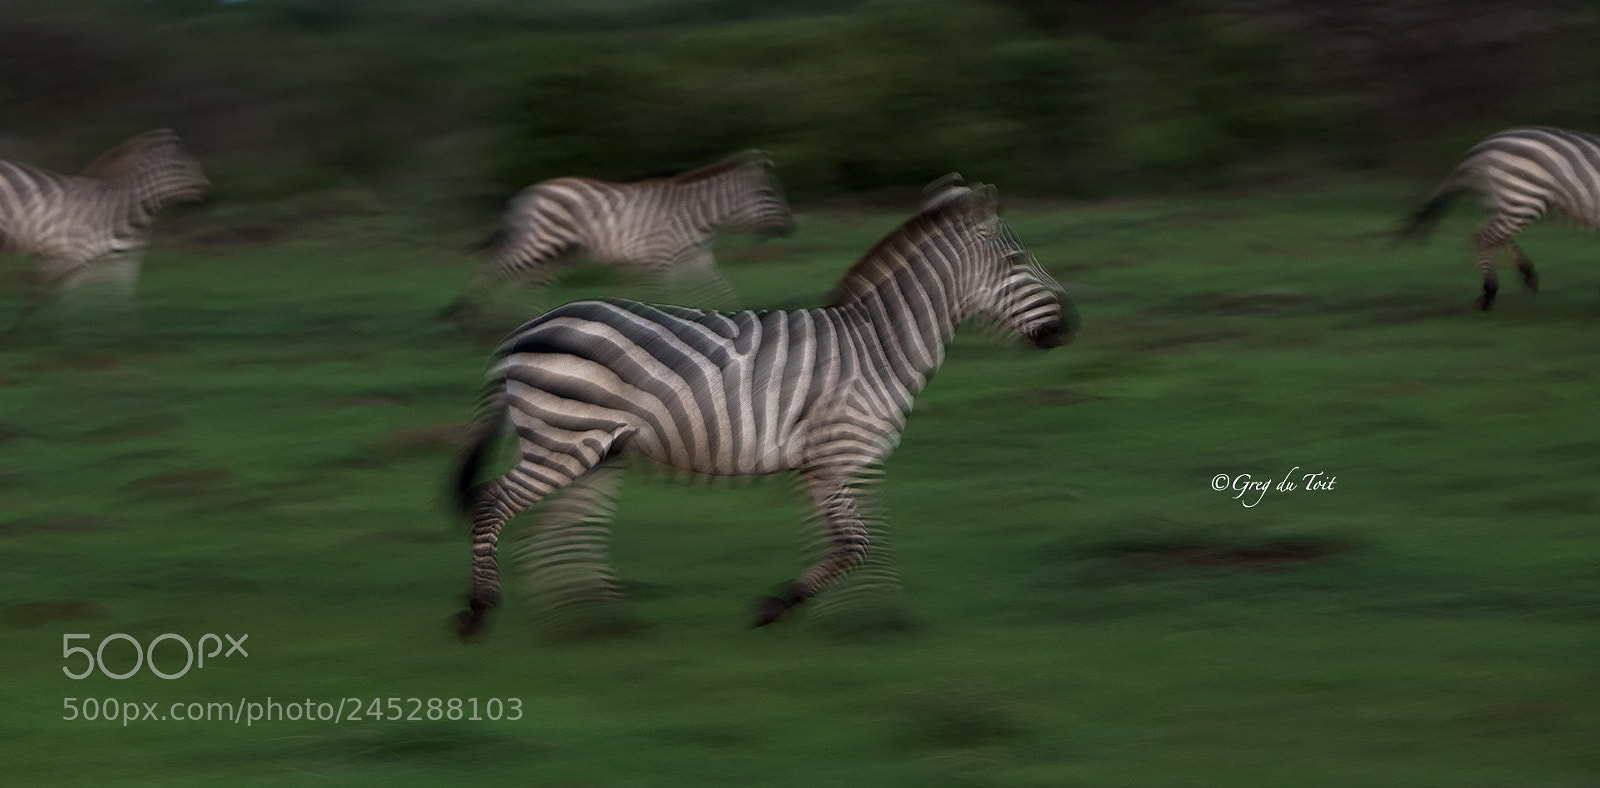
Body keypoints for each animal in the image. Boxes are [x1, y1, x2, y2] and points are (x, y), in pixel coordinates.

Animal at [0, 129, 209, 338]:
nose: (208, 190)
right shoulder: (69, 257)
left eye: (195, 164)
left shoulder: (121, 263)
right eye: (180, 166)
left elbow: (121, 301)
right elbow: (48, 294)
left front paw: (133, 336)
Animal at [438, 149, 795, 323]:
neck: (697, 217)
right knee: (495, 265)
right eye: (769, 193)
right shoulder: (656, 261)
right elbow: (658, 301)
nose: (790, 228)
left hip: (558, 253)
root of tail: (523, 195)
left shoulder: (694, 261)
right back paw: (463, 315)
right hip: (541, 243)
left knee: (527, 279)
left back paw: (517, 320)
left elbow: (725, 293)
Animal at [448, 175, 1073, 639]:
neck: (877, 348)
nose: (1069, 329)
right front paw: (790, 608)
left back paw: (587, 617)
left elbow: (860, 541)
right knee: (493, 503)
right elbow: (857, 545)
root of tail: (526, 330)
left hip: (597, 449)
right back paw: (483, 612)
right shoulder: (840, 453)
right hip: (566, 441)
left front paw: (878, 617)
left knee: (560, 526)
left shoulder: (829, 464)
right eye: (1018, 259)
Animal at [1400, 126, 1600, 310]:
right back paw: (1490, 291)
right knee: (1484, 237)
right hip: (1524, 197)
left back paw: (1526, 274)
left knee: (1489, 234)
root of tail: (1488, 145)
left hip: (1505, 201)